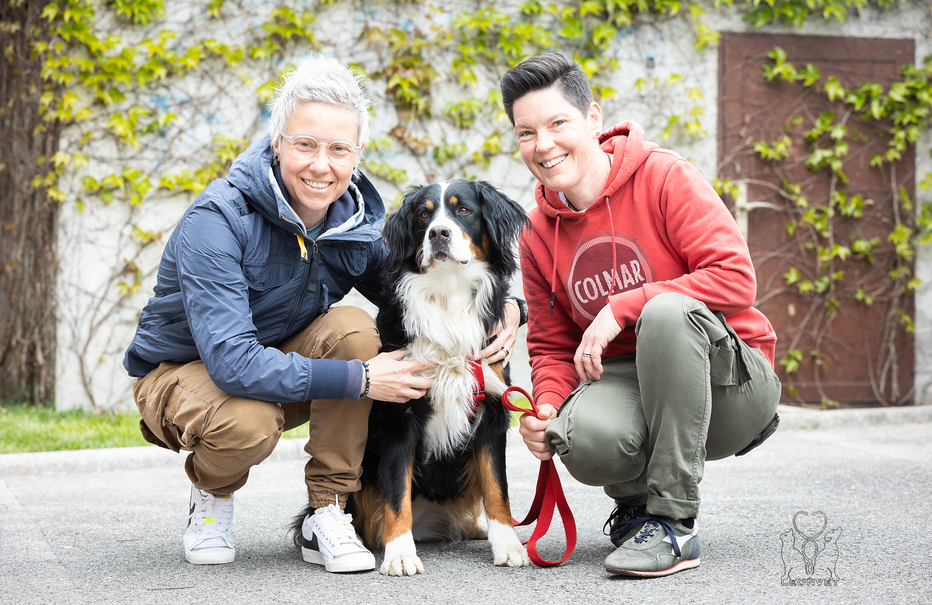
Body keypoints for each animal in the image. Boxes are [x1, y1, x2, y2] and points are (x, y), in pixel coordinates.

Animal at [298, 178, 532, 576]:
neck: (448, 294)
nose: (438, 233)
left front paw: (508, 545)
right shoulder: (400, 411)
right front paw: (400, 554)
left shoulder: (491, 407)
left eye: (463, 210)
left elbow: (497, 487)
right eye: (424, 214)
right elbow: (397, 492)